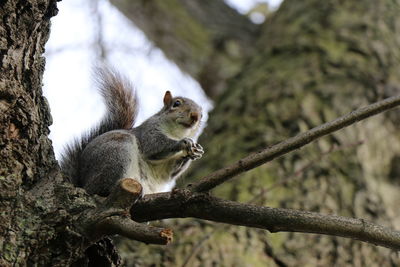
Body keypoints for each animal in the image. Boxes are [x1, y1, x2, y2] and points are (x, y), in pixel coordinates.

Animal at [60, 67, 203, 197]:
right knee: (99, 189)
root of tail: (83, 183)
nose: (195, 116)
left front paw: (195, 151)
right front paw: (183, 142)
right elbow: (154, 145)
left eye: (202, 115)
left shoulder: (165, 169)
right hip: (117, 152)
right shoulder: (149, 131)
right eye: (176, 103)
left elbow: (170, 172)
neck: (176, 133)